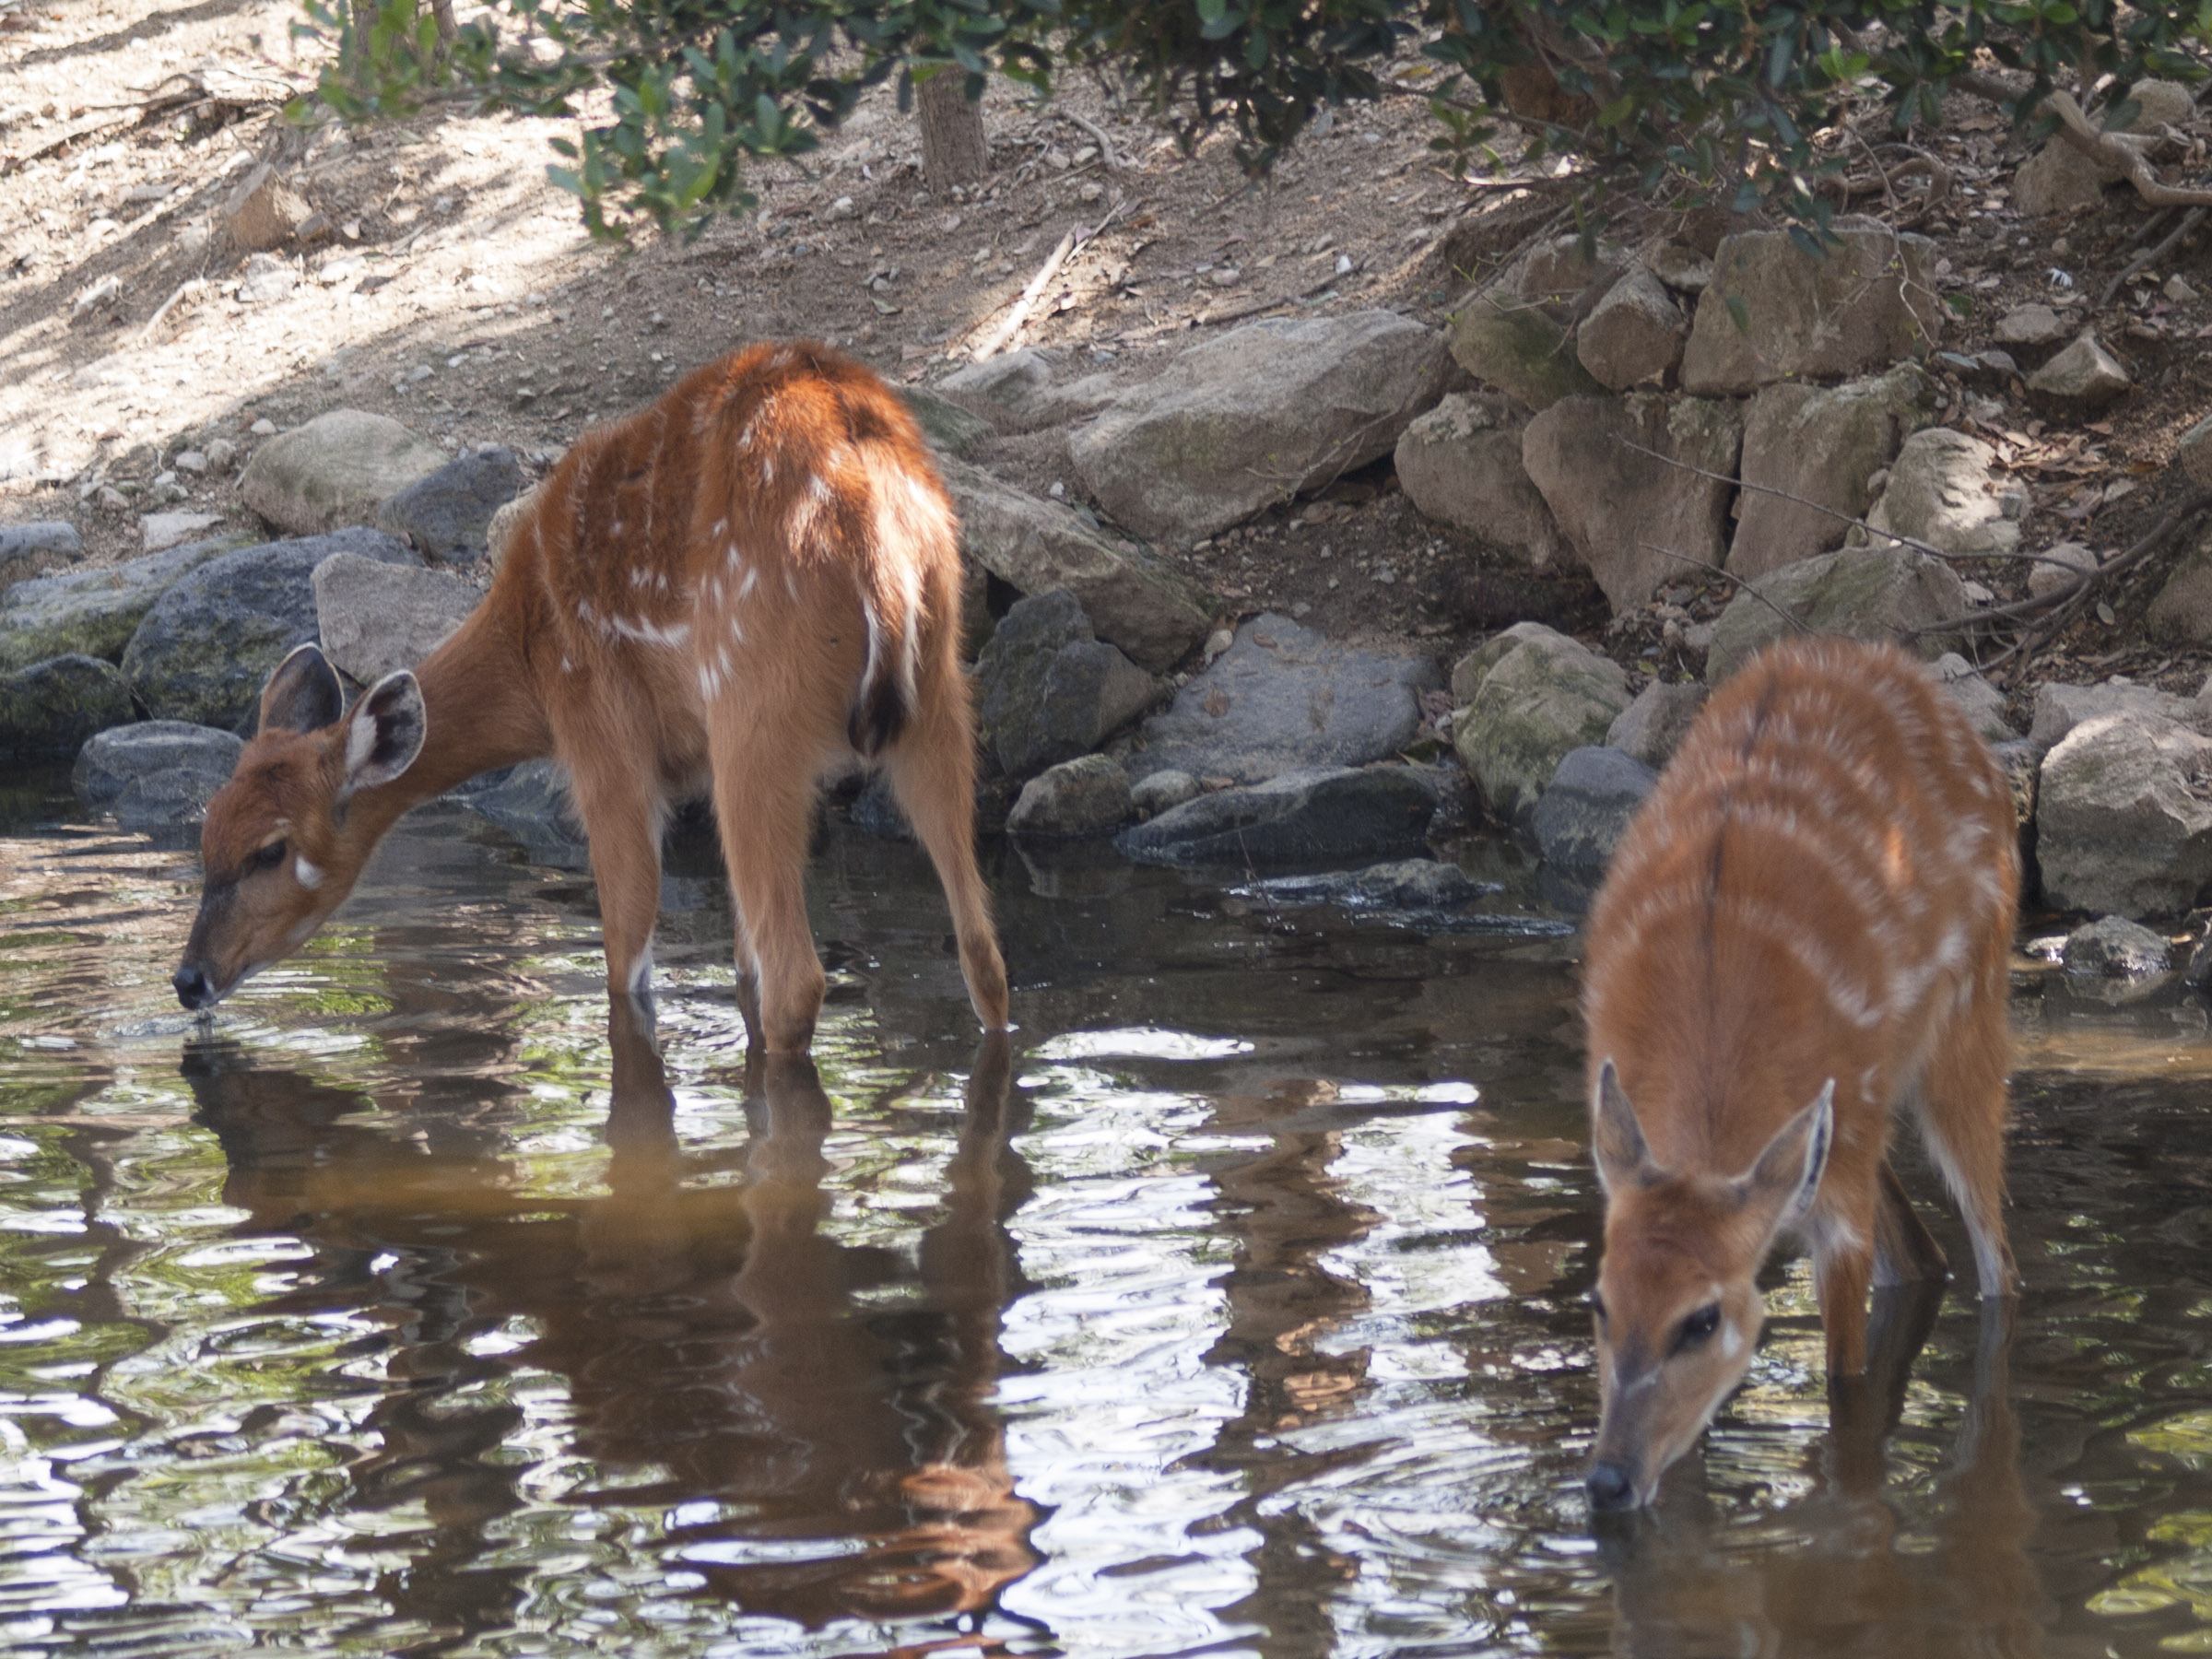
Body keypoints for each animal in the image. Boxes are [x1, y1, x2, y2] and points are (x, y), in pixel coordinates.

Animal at [181, 345, 1013, 1057]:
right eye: (207, 831)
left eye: (270, 850)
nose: (190, 980)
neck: (529, 655)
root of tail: (870, 524)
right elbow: (737, 967)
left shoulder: (605, 749)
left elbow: (629, 977)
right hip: (940, 697)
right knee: (984, 957)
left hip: (753, 715)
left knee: (798, 979)